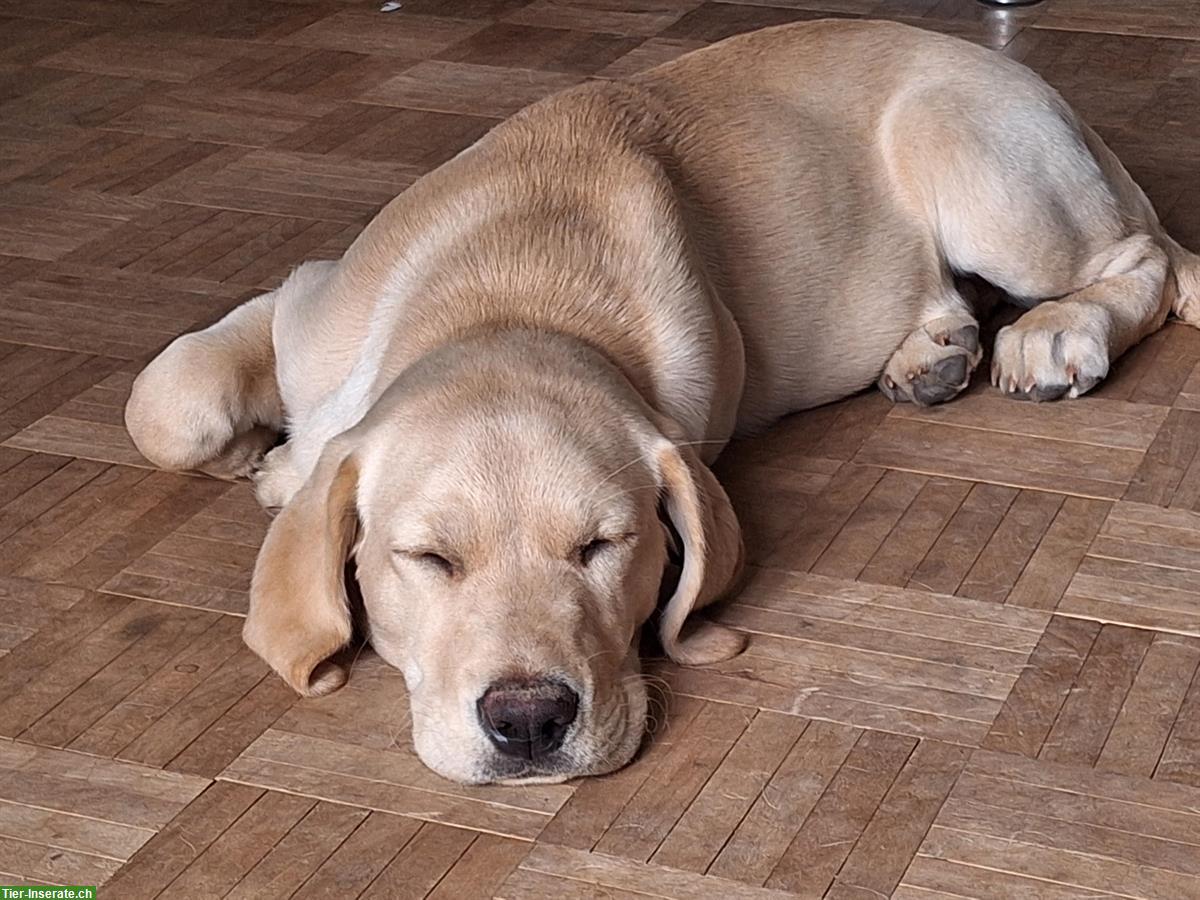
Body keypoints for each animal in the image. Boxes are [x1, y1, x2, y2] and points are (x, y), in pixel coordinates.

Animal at [126, 17, 1200, 787]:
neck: (514, 289)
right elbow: (165, 400)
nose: (529, 721)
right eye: (429, 560)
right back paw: (932, 348)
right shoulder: (309, 300)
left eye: (605, 547)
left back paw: (1057, 334)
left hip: (982, 172)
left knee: (1149, 265)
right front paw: (262, 459)